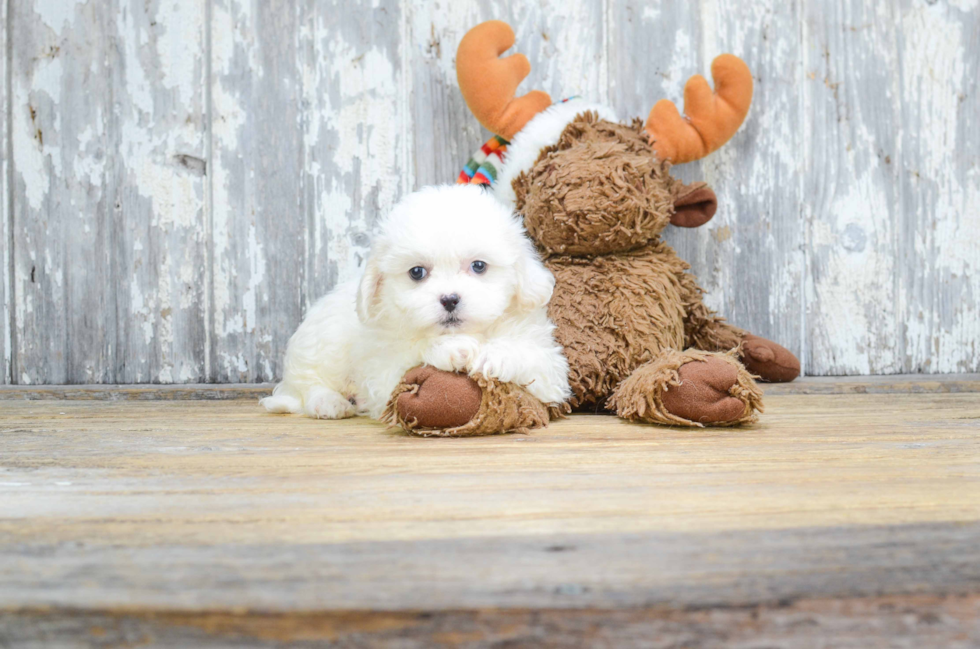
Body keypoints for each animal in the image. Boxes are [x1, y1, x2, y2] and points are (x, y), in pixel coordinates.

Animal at [260, 182, 572, 420]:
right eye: (417, 272)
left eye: (479, 266)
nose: (449, 299)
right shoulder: (383, 372)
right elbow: (412, 355)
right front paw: (451, 348)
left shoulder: (551, 371)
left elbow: (534, 360)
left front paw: (495, 356)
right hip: (321, 344)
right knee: (306, 383)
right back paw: (328, 402)